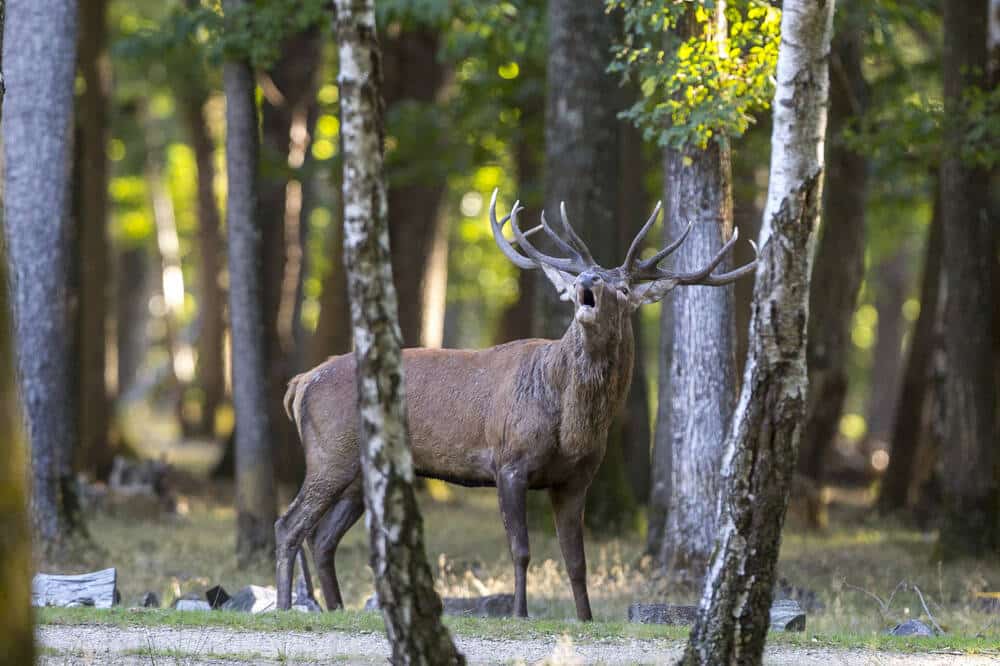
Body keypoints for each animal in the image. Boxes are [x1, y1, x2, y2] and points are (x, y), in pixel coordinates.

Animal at [274, 191, 752, 616]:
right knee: (290, 524)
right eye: (587, 276)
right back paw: (286, 605)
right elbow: (520, 549)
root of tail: (301, 381)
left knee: (323, 537)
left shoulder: (576, 478)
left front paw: (585, 617)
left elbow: (576, 560)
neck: (573, 424)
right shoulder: (509, 461)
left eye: (622, 287)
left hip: (356, 473)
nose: (587, 281)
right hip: (331, 453)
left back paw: (335, 608)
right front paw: (520, 612)